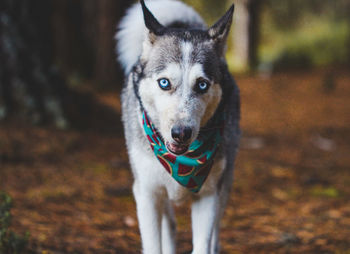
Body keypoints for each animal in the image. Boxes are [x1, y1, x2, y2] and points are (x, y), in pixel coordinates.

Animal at [116, 0, 239, 253]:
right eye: (164, 83)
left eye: (202, 85)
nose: (181, 133)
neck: (183, 164)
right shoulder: (147, 194)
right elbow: (154, 244)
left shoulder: (208, 195)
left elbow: (203, 244)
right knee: (169, 227)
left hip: (225, 185)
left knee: (215, 232)